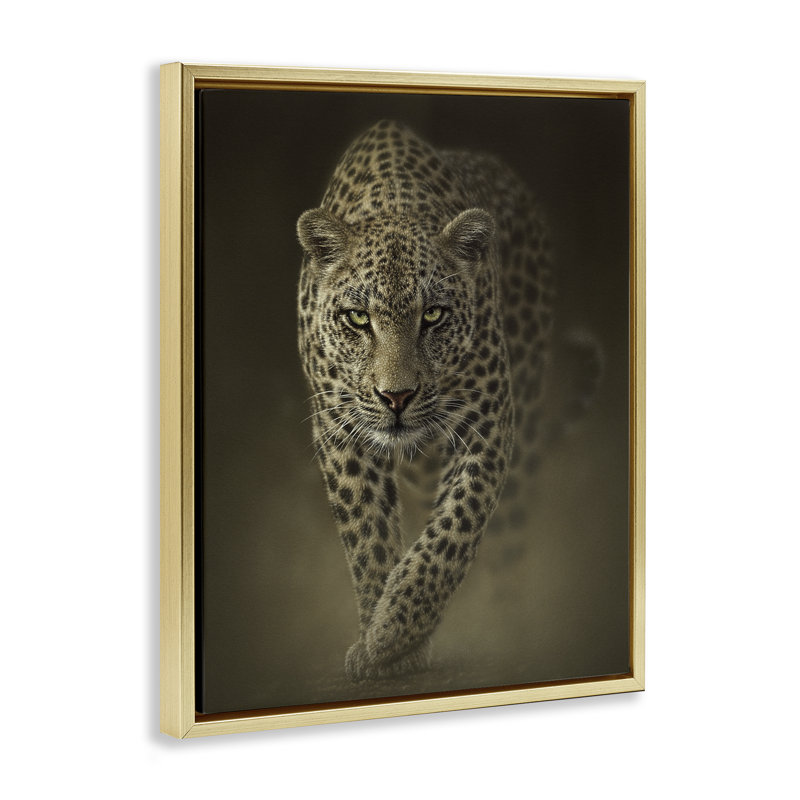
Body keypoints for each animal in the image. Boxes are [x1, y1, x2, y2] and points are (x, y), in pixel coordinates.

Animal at [296, 119, 560, 682]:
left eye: (433, 315)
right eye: (358, 318)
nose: (396, 397)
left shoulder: (489, 419)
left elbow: (455, 530)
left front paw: (395, 633)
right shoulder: (337, 426)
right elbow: (367, 533)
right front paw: (383, 645)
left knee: (509, 536)